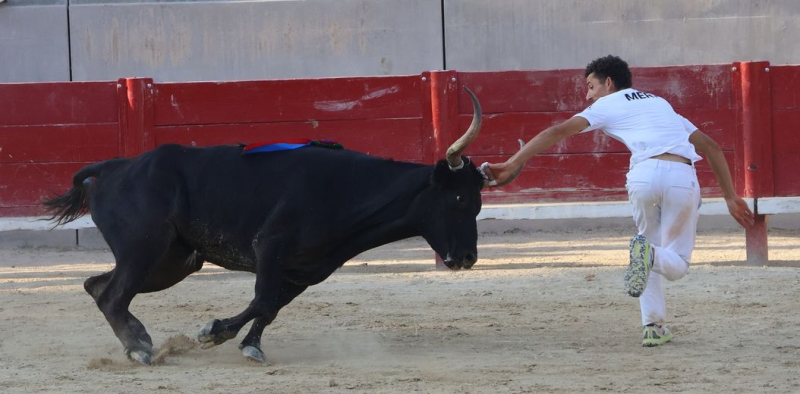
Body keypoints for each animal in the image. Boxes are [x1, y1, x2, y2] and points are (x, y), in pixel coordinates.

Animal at [42, 87, 506, 364]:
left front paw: (249, 344)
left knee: (99, 287)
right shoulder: (271, 246)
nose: (467, 258)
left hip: (173, 262)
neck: (346, 191)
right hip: (145, 249)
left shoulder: (305, 271)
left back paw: (137, 339)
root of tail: (114, 166)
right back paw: (139, 348)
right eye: (458, 200)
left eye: (479, 204)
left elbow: (272, 307)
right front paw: (213, 332)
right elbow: (263, 299)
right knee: (113, 294)